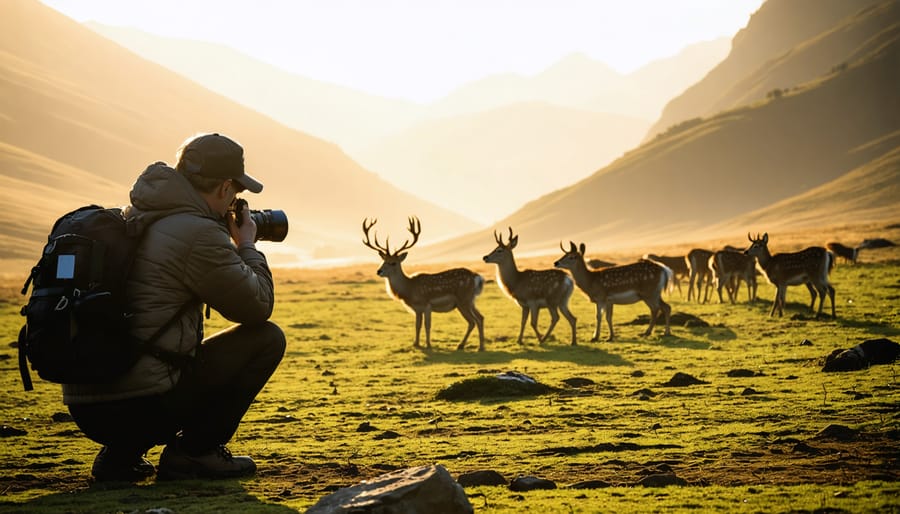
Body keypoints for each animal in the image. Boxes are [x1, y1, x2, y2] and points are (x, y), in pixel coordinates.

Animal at [362, 214, 486, 350]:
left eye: (393, 262)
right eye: (383, 260)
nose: (379, 271)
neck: (409, 289)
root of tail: (477, 277)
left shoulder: (426, 304)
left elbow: (427, 325)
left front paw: (428, 345)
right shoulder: (417, 309)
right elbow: (417, 325)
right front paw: (416, 344)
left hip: (463, 300)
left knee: (473, 321)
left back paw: (465, 345)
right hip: (471, 300)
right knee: (480, 318)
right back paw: (479, 346)